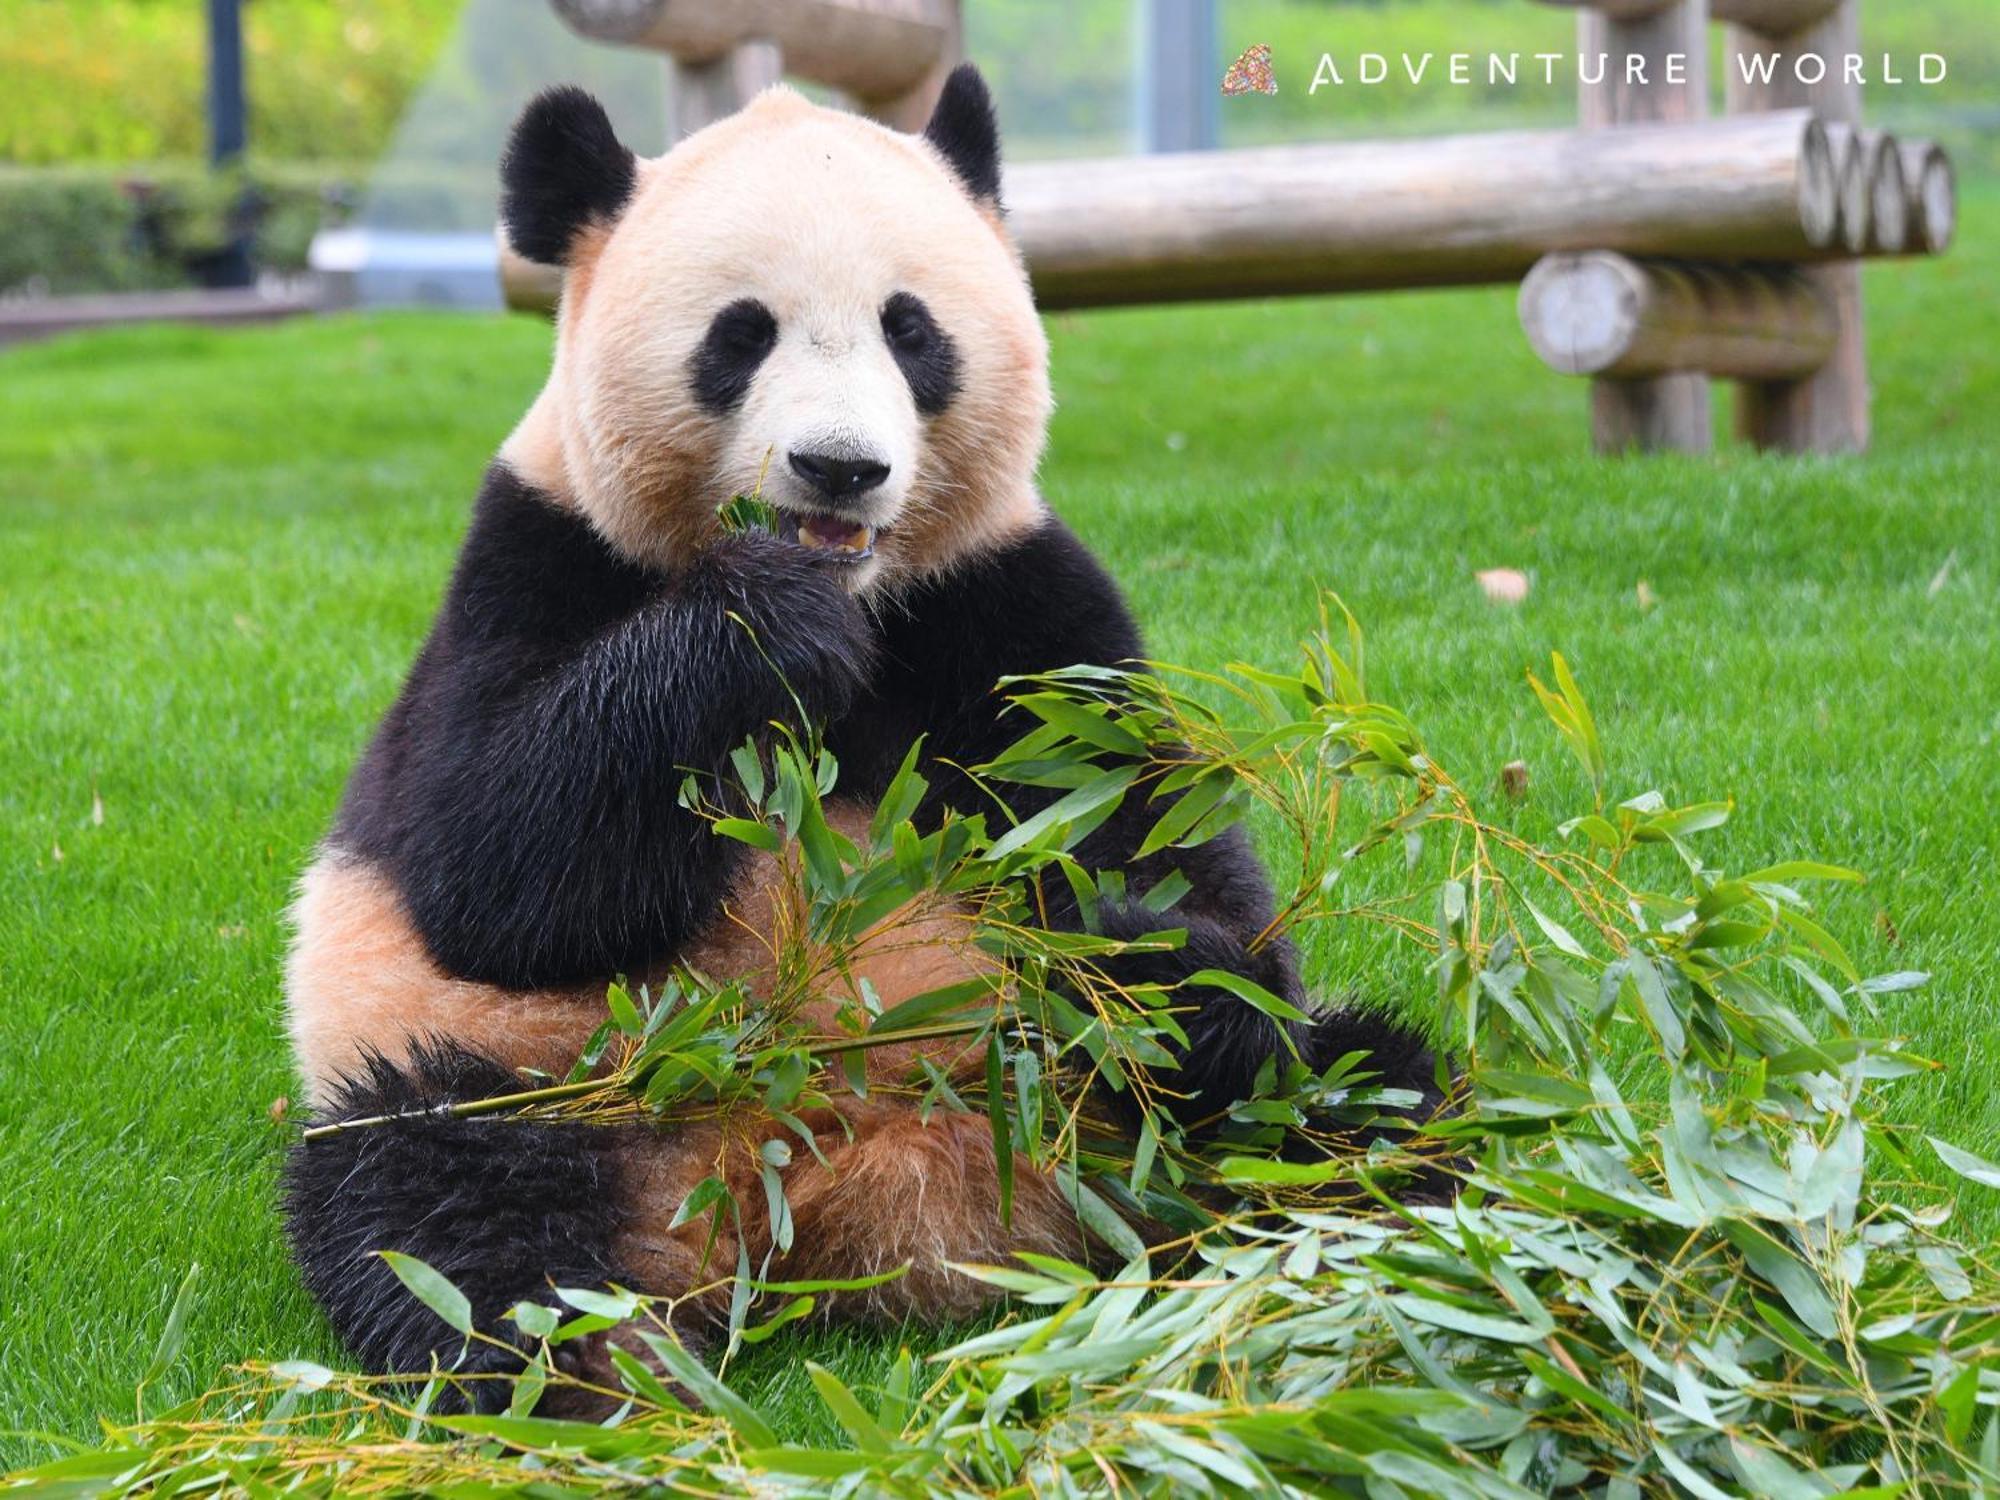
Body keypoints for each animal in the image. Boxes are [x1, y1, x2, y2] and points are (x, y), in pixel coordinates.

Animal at [282, 67, 1440, 1408]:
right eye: (741, 334)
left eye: (910, 330)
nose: (838, 467)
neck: (862, 594)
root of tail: (848, 1189)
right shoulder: (537, 555)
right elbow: (493, 869)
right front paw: (762, 629)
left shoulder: (1010, 600)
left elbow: (1155, 837)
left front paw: (1147, 964)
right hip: (550, 1081)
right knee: (452, 1216)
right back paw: (607, 1385)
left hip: (1128, 1108)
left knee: (1359, 1098)